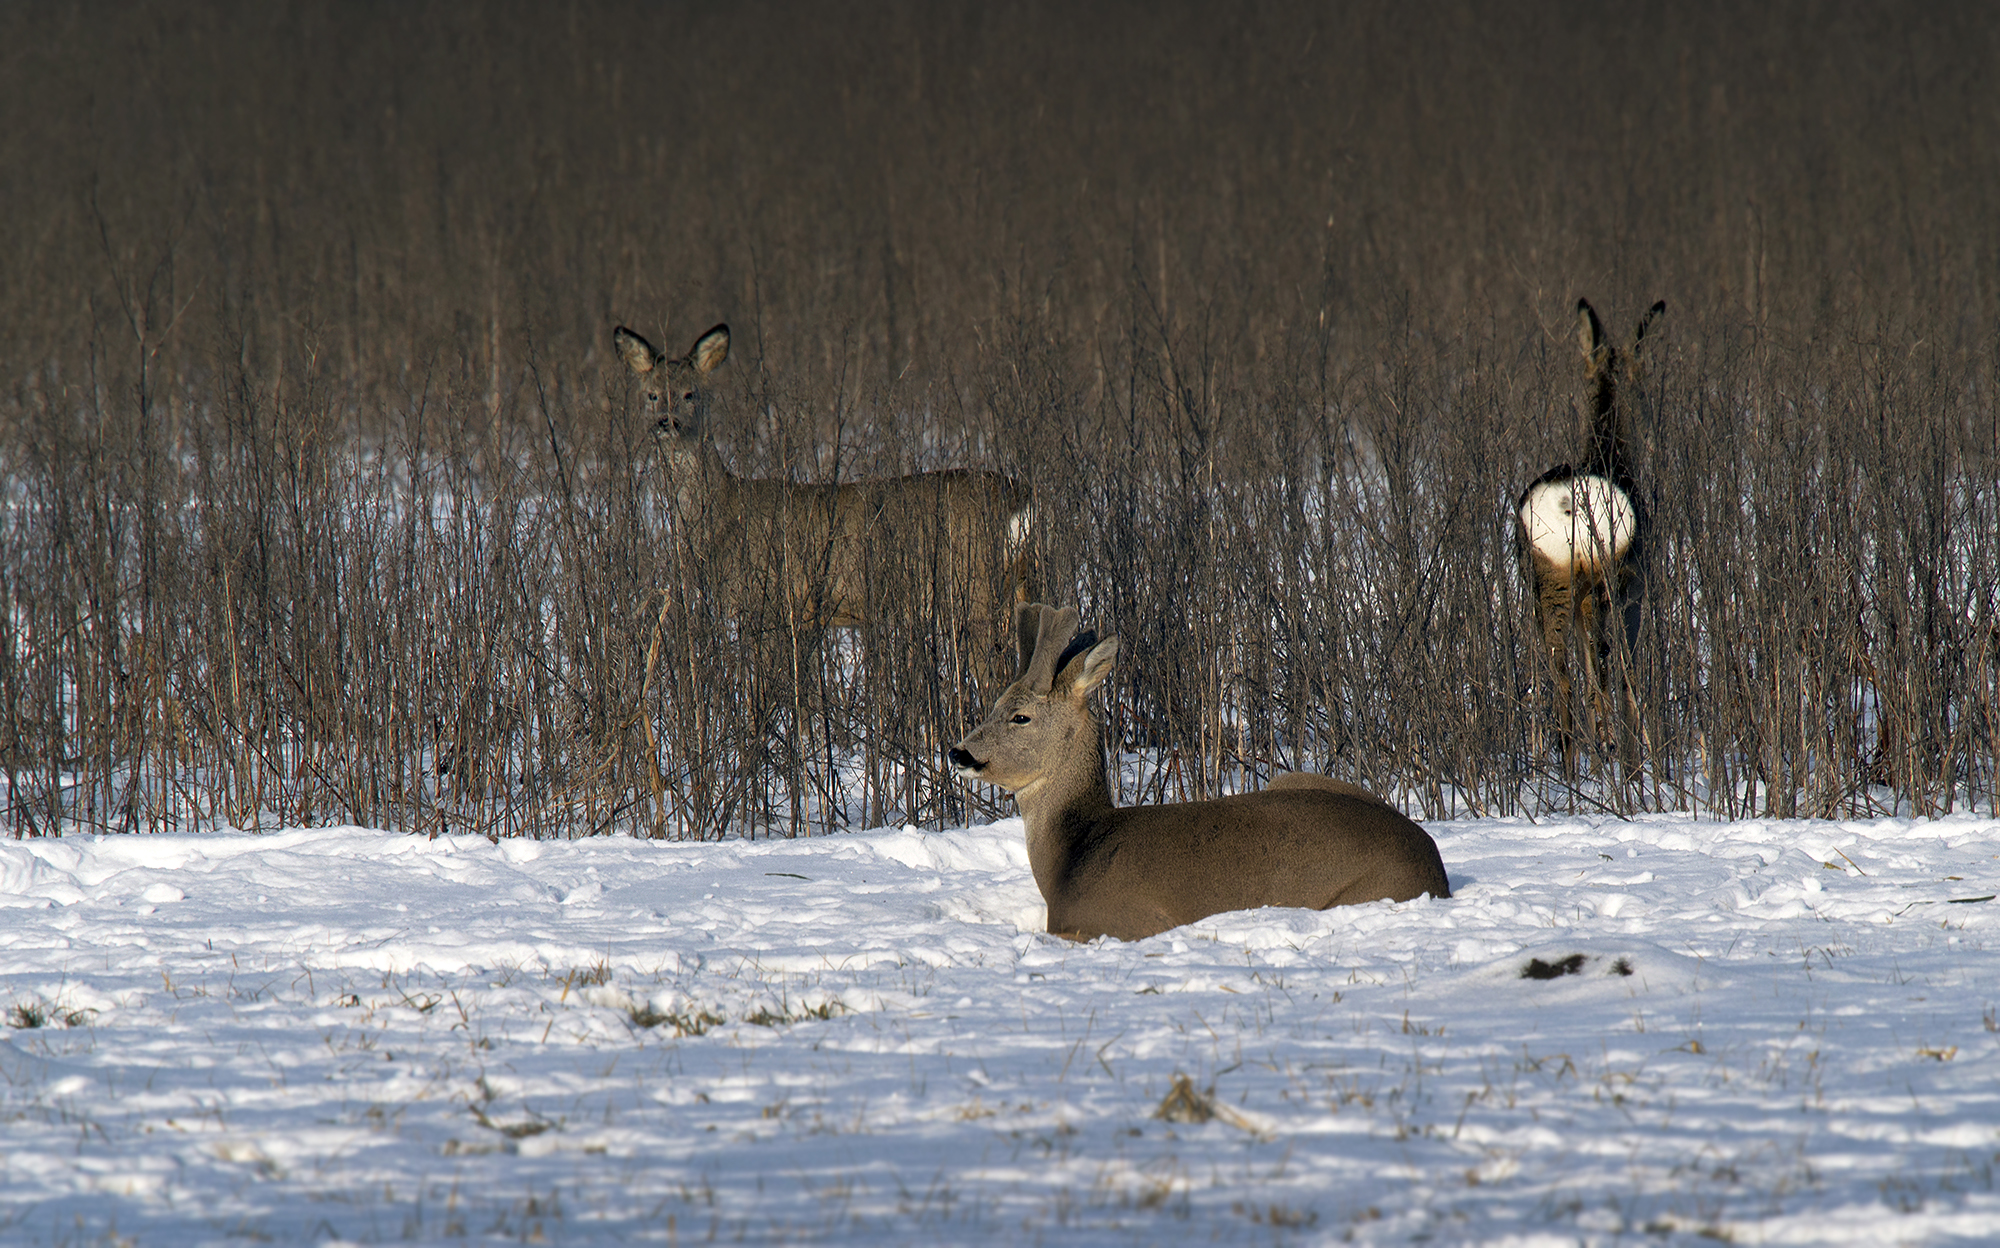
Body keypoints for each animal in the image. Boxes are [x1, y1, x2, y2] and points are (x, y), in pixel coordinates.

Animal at [616, 322, 1040, 648]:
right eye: (651, 395)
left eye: (691, 394)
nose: (667, 422)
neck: (722, 511)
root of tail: (1019, 497)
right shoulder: (807, 617)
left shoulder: (775, 604)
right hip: (1019, 584)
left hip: (975, 588)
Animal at [944, 600, 1448, 940]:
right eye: (994, 705)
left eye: (1020, 716)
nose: (957, 753)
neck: (1073, 855)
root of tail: (1436, 870)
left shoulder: (1124, 919)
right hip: (1291, 779)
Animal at [1520, 300, 1664, 772]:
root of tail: (1568, 501)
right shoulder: (1636, 585)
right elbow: (1628, 674)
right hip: (1605, 575)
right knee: (1604, 667)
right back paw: (1614, 756)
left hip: (1549, 579)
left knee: (1561, 672)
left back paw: (1570, 768)